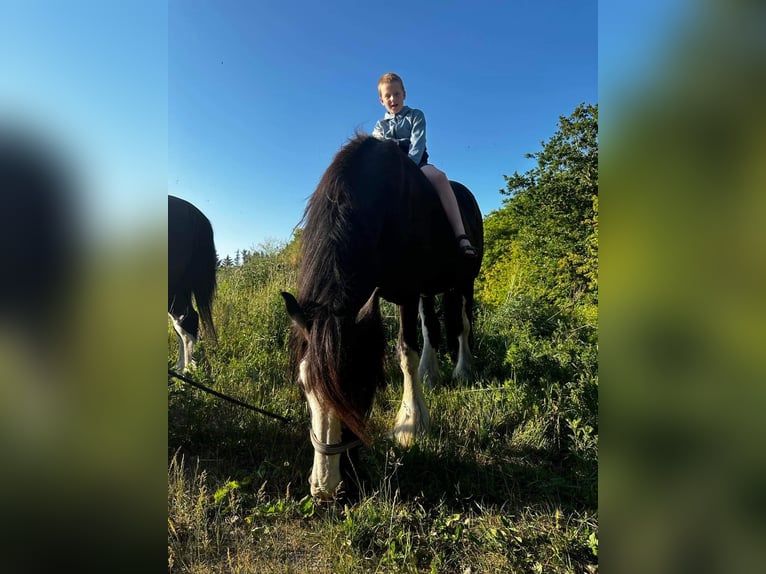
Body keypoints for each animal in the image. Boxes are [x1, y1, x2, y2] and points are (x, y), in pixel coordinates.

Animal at [284, 134, 484, 500]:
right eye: (304, 386)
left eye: (361, 384)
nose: (328, 489)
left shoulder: (407, 291)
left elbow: (405, 352)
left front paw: (412, 425)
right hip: (427, 290)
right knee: (430, 325)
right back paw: (430, 374)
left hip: (465, 281)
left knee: (462, 323)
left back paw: (463, 370)